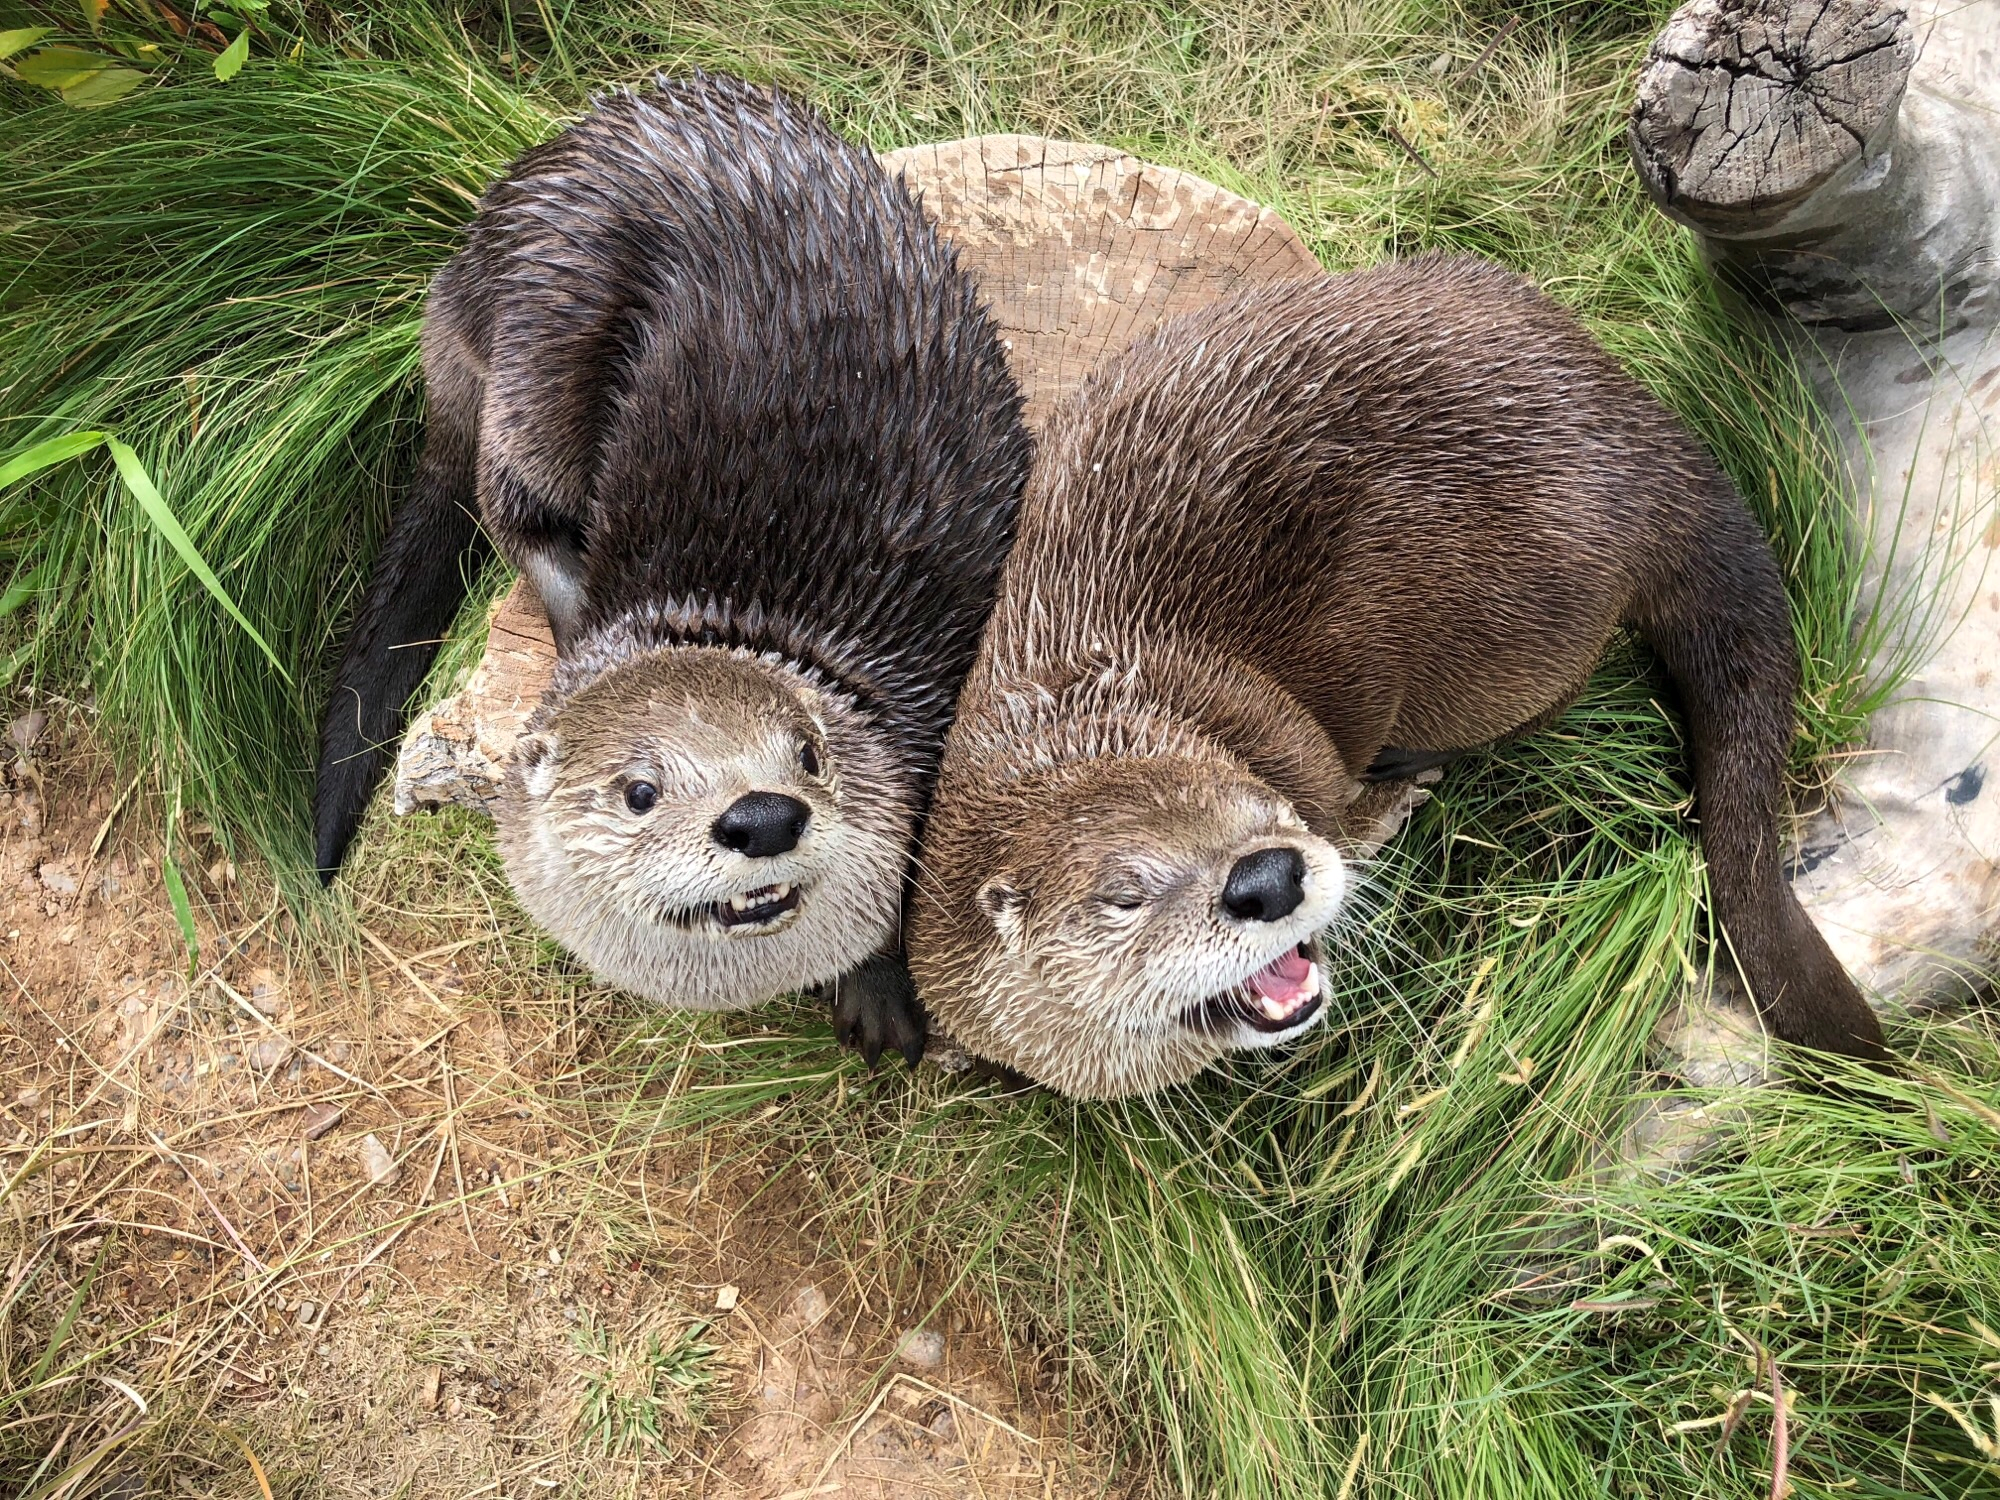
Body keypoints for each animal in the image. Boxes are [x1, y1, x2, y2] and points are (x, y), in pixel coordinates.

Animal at [313, 73, 1031, 1063]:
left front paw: (880, 989)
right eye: (640, 792)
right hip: (545, 332)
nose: (760, 818)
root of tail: (490, 228)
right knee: (509, 497)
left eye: (809, 756)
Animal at [906, 254, 1889, 1099]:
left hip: (1512, 618)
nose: (1267, 875)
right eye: (1123, 895)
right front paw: (953, 1056)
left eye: (1268, 813)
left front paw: (1388, 807)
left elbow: (1350, 824)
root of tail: (1632, 433)